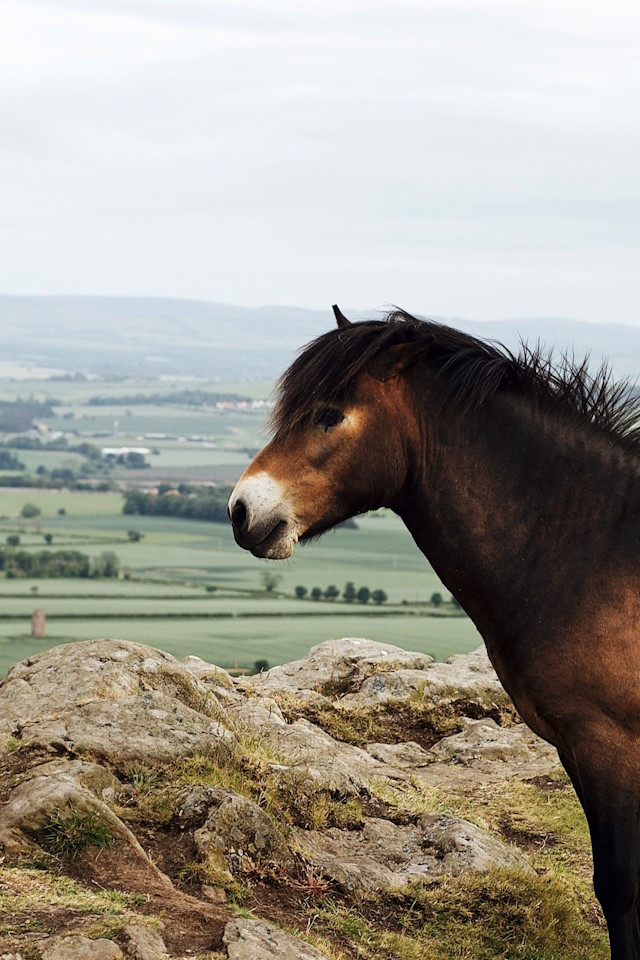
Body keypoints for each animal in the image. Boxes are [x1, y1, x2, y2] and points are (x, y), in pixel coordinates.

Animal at [228, 305, 640, 960]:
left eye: (329, 414)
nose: (241, 510)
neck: (592, 549)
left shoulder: (611, 743)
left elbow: (619, 884)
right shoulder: (577, 746)